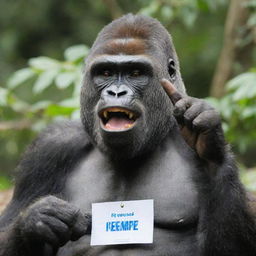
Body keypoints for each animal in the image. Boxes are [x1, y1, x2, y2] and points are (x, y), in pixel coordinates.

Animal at [0, 13, 256, 256]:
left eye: (135, 73)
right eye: (106, 72)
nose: (116, 92)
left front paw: (208, 144)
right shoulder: (48, 148)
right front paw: (36, 220)